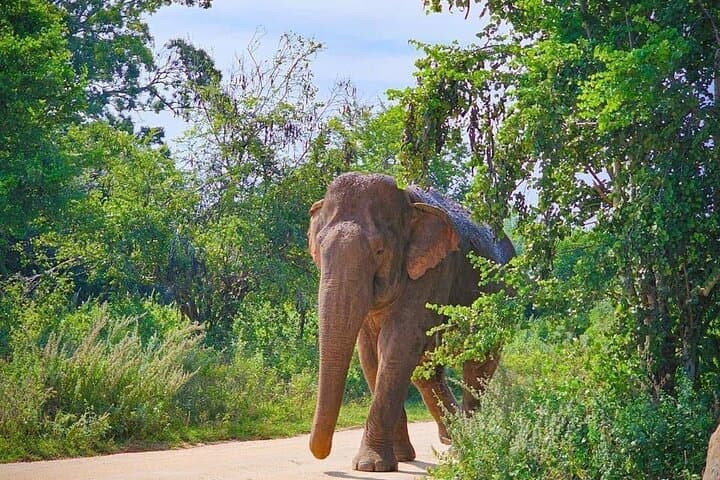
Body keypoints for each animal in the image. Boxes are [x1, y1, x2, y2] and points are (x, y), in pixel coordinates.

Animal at [306, 172, 515, 472]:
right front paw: (398, 459)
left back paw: (465, 447)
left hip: (499, 301)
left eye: (379, 251)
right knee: (426, 369)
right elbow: (371, 353)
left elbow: (398, 343)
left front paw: (369, 466)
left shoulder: (433, 270)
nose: (323, 457)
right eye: (319, 247)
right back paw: (452, 436)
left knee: (476, 366)